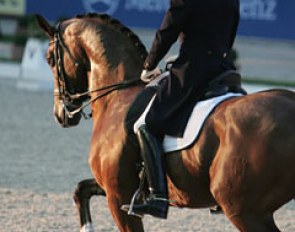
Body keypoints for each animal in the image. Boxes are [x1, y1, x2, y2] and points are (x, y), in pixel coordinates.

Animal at [36, 13, 295, 231]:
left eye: (49, 59)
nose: (61, 114)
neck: (118, 94)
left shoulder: (118, 196)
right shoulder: (117, 187)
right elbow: (80, 189)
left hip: (244, 210)